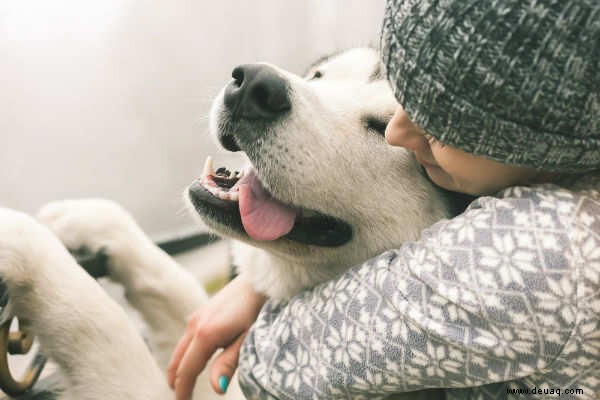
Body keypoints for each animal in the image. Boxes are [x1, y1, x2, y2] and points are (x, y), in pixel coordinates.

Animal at [0, 48, 458, 398]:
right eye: (318, 75)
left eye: (383, 128)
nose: (255, 84)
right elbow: (178, 290)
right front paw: (90, 221)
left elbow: (101, 324)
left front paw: (21, 241)